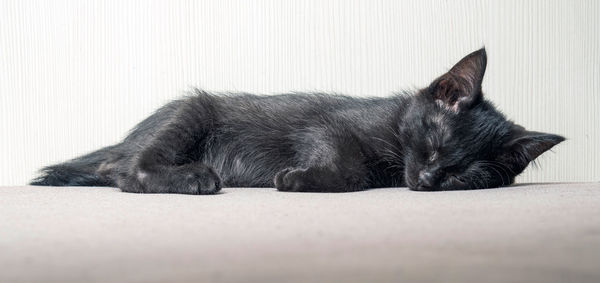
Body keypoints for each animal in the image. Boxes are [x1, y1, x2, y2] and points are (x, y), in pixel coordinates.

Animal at [30, 49, 564, 195]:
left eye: (465, 174)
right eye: (434, 141)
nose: (430, 177)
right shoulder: (329, 126)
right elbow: (347, 162)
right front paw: (301, 178)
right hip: (190, 111)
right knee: (122, 171)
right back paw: (194, 178)